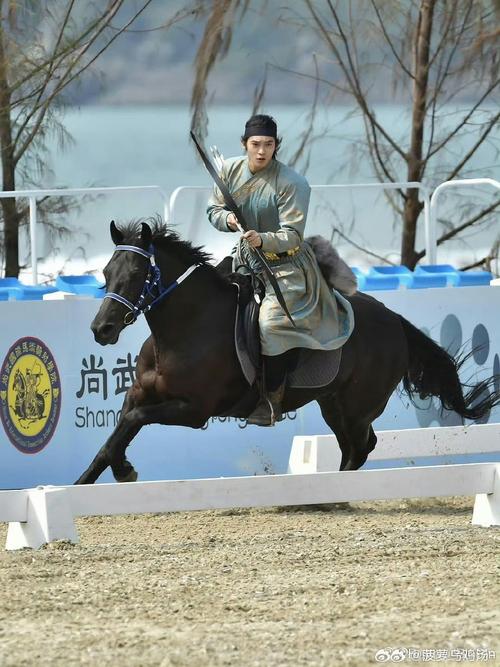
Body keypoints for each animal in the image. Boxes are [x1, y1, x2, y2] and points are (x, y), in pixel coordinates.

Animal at [75, 220, 499, 485]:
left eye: (135, 275)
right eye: (106, 274)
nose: (101, 329)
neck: (184, 331)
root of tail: (394, 319)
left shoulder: (194, 410)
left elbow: (131, 424)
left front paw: (124, 472)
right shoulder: (140, 394)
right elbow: (116, 434)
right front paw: (93, 478)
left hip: (358, 407)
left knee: (360, 448)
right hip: (333, 404)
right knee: (353, 448)